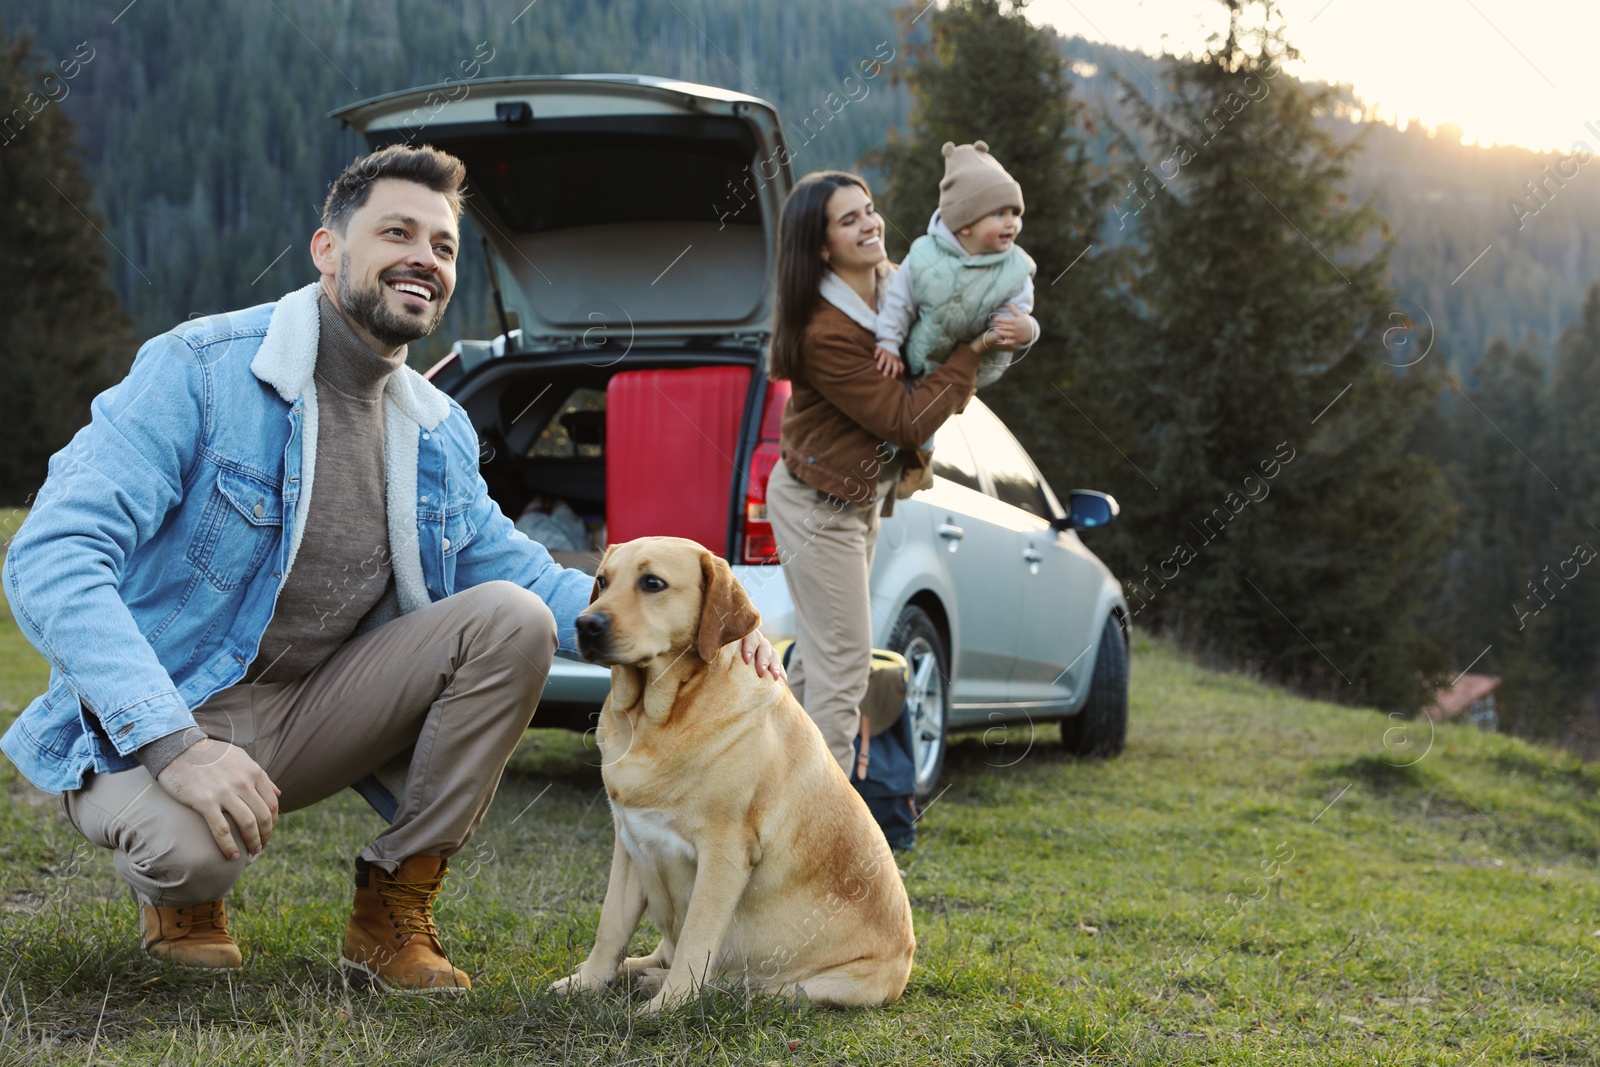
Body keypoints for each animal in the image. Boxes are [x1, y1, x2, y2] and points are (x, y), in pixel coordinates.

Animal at [553, 537, 915, 1017]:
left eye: (653, 583)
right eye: (602, 581)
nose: (585, 623)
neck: (656, 717)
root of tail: (906, 964)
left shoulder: (724, 854)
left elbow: (697, 938)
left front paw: (668, 1006)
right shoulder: (630, 842)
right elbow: (611, 925)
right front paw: (589, 982)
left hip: (812, 986)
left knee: (744, 987)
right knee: (664, 952)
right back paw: (640, 970)